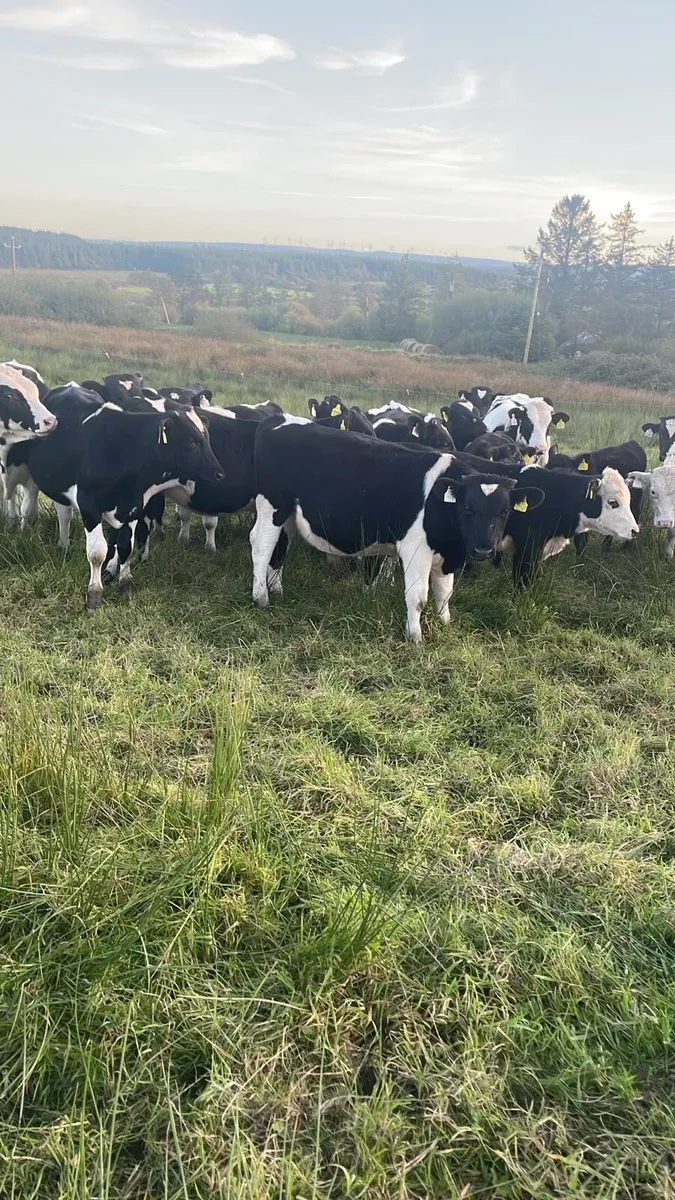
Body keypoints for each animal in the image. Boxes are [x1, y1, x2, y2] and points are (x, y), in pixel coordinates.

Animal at [5, 390, 223, 609]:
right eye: (191, 441)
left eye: (207, 438)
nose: (219, 473)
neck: (124, 451)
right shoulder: (89, 505)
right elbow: (96, 553)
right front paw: (94, 593)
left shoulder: (134, 507)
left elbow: (126, 545)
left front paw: (125, 582)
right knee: (30, 505)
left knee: (64, 514)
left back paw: (63, 546)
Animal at [248, 417, 545, 644]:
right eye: (467, 509)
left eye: (504, 511)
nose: (483, 550)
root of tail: (278, 420)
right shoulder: (416, 549)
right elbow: (418, 597)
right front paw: (415, 637)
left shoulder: (448, 556)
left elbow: (444, 592)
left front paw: (445, 623)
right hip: (272, 505)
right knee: (261, 545)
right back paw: (261, 597)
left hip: (287, 516)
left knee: (280, 547)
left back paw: (277, 591)